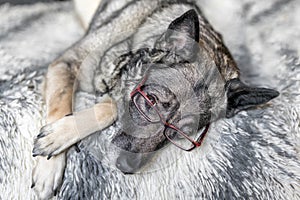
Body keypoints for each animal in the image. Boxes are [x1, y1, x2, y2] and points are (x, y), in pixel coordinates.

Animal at [30, 0, 278, 198]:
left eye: (183, 132)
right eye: (151, 100)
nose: (125, 166)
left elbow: (110, 106)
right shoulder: (66, 63)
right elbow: (62, 105)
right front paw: (48, 167)